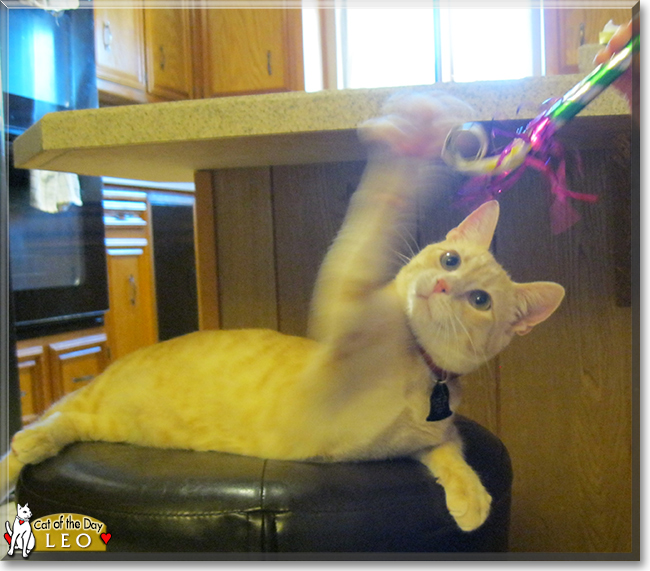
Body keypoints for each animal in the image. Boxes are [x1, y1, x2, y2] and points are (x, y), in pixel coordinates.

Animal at [0, 91, 560, 536]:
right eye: (449, 260)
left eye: (480, 300)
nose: (443, 284)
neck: (418, 367)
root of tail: (112, 371)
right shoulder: (346, 304)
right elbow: (382, 203)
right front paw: (415, 136)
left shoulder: (429, 436)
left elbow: (450, 450)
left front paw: (471, 494)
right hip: (96, 403)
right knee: (47, 422)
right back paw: (26, 445)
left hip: (110, 418)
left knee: (68, 415)